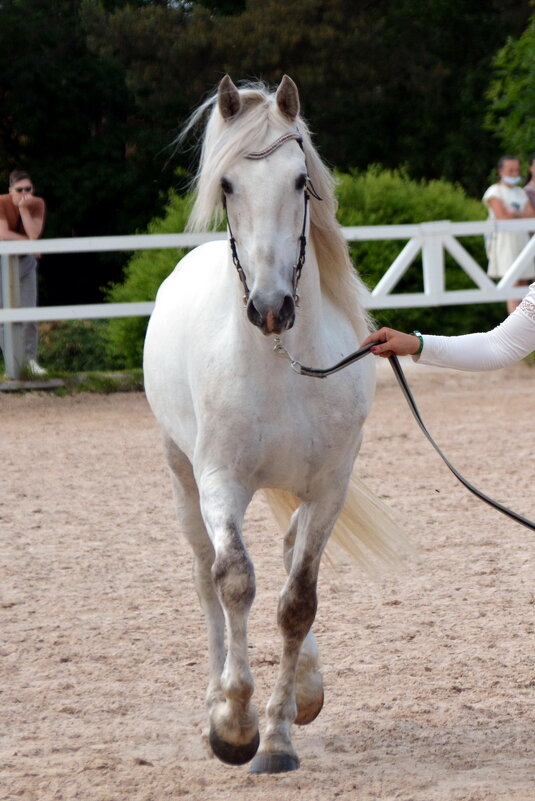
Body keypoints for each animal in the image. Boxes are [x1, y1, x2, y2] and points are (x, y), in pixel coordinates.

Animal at [144, 78, 404, 772]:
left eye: (299, 180)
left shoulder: (330, 486)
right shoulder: (220, 484)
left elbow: (297, 601)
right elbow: (235, 581)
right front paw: (234, 725)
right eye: (228, 184)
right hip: (181, 478)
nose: (269, 307)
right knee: (205, 575)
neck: (280, 364)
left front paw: (280, 735)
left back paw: (306, 690)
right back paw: (215, 696)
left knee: (289, 553)